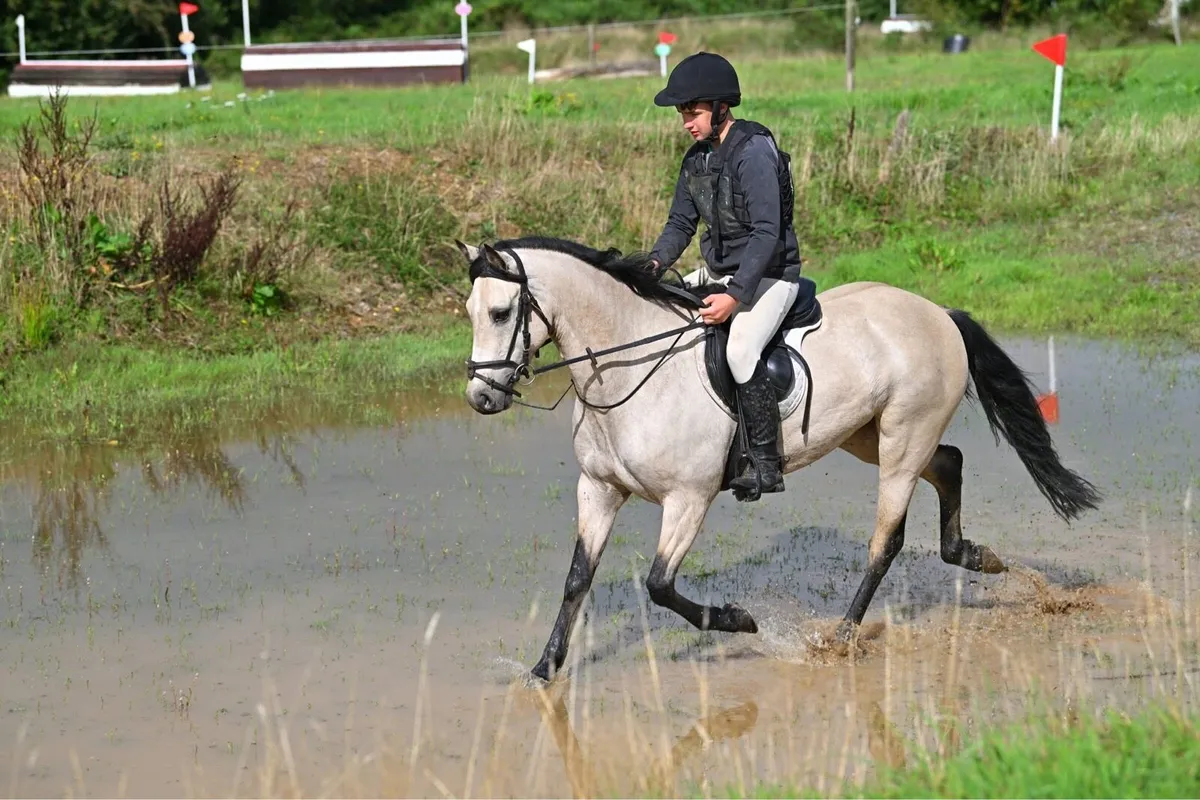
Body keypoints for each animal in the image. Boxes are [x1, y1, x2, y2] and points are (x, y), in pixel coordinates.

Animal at [456, 235, 1101, 683]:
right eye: (468, 312)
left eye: (500, 313)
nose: (482, 398)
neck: (628, 369)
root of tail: (938, 312)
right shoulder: (598, 488)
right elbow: (577, 579)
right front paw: (544, 670)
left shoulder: (688, 498)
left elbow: (660, 584)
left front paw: (740, 620)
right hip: (866, 435)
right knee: (949, 463)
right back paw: (975, 556)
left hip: (901, 439)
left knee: (886, 538)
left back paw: (840, 637)